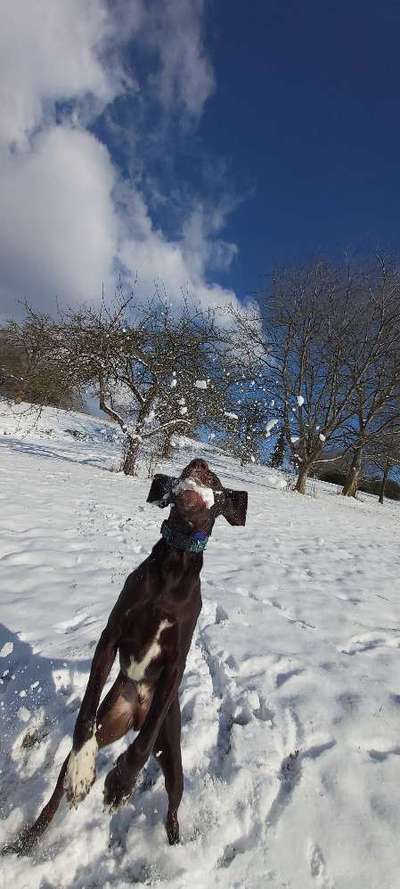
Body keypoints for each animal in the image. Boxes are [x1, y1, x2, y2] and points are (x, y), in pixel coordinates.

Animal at [2, 458, 247, 852]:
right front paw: (86, 766)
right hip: (110, 721)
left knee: (172, 804)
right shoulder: (111, 636)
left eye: (217, 483)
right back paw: (29, 838)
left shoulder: (176, 663)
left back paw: (174, 841)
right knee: (57, 791)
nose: (200, 462)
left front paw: (120, 782)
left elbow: (142, 748)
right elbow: (84, 716)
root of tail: (135, 712)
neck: (175, 563)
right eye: (187, 468)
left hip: (172, 754)